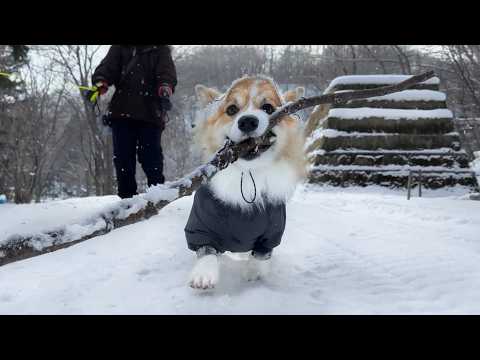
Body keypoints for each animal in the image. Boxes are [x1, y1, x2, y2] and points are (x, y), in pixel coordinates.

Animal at [184, 76, 308, 290]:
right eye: (232, 109)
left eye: (268, 108)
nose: (248, 121)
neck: (248, 173)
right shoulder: (201, 225)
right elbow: (206, 251)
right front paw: (203, 275)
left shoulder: (272, 233)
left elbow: (260, 256)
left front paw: (253, 272)